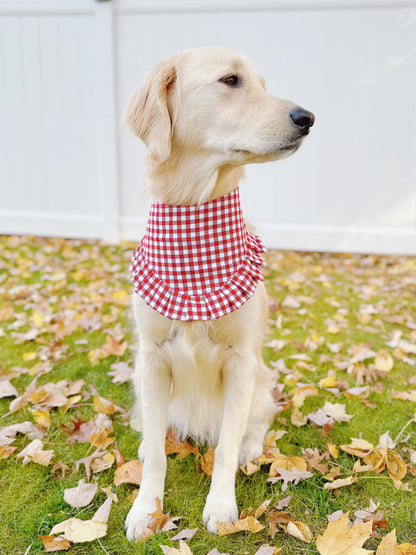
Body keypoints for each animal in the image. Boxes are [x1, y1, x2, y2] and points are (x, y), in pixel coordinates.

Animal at [122, 45, 314, 540]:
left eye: (263, 84)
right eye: (231, 80)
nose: (308, 117)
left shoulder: (241, 361)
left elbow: (226, 446)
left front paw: (223, 507)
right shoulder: (151, 356)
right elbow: (156, 451)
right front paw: (145, 508)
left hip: (262, 382)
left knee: (254, 424)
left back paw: (250, 447)